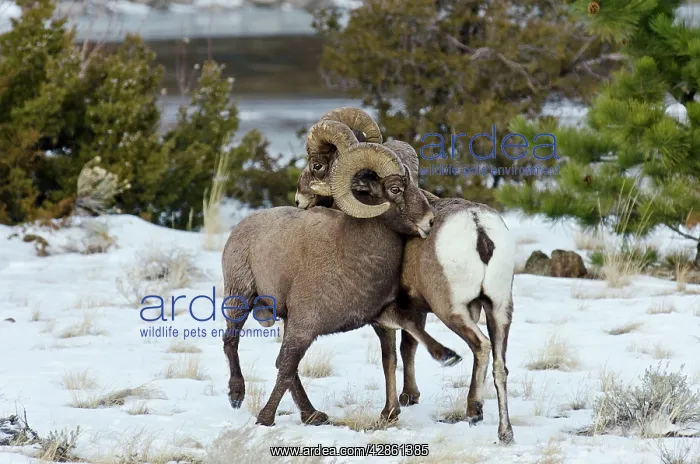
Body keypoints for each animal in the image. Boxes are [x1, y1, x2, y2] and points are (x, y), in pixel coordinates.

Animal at [222, 125, 439, 427]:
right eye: (395, 188)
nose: (429, 221)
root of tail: (242, 226)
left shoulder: (380, 322)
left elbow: (390, 360)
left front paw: (390, 413)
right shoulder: (303, 325)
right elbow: (286, 366)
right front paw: (265, 419)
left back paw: (313, 415)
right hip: (239, 297)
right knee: (231, 342)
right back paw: (236, 396)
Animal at [297, 143, 516, 444]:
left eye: (317, 165)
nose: (300, 200)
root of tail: (478, 228)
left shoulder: (384, 315)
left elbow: (390, 358)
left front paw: (389, 413)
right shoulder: (415, 310)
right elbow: (409, 347)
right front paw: (410, 396)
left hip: (452, 310)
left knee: (480, 347)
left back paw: (474, 410)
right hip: (499, 309)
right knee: (500, 366)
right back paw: (505, 433)